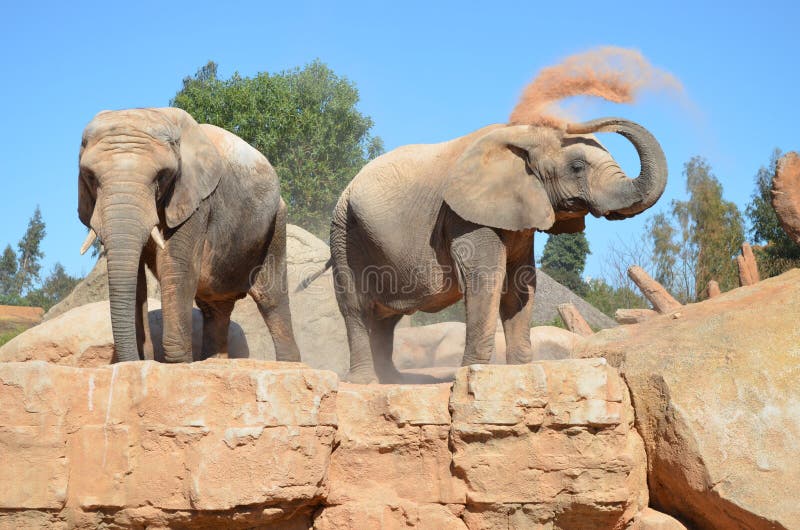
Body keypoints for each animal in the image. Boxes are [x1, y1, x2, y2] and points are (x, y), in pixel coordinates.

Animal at [77, 107, 300, 364]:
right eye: (90, 177)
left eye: (162, 176)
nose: (136, 359)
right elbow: (137, 280)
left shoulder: (196, 201)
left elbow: (175, 266)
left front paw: (177, 363)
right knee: (215, 308)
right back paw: (214, 361)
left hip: (275, 222)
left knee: (271, 299)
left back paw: (289, 363)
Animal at [305, 117, 666, 383]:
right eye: (577, 167)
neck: (521, 138)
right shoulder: (464, 216)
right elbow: (486, 279)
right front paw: (471, 372)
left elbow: (521, 285)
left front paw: (520, 370)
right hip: (343, 232)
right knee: (357, 308)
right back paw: (366, 381)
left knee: (387, 317)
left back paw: (393, 378)